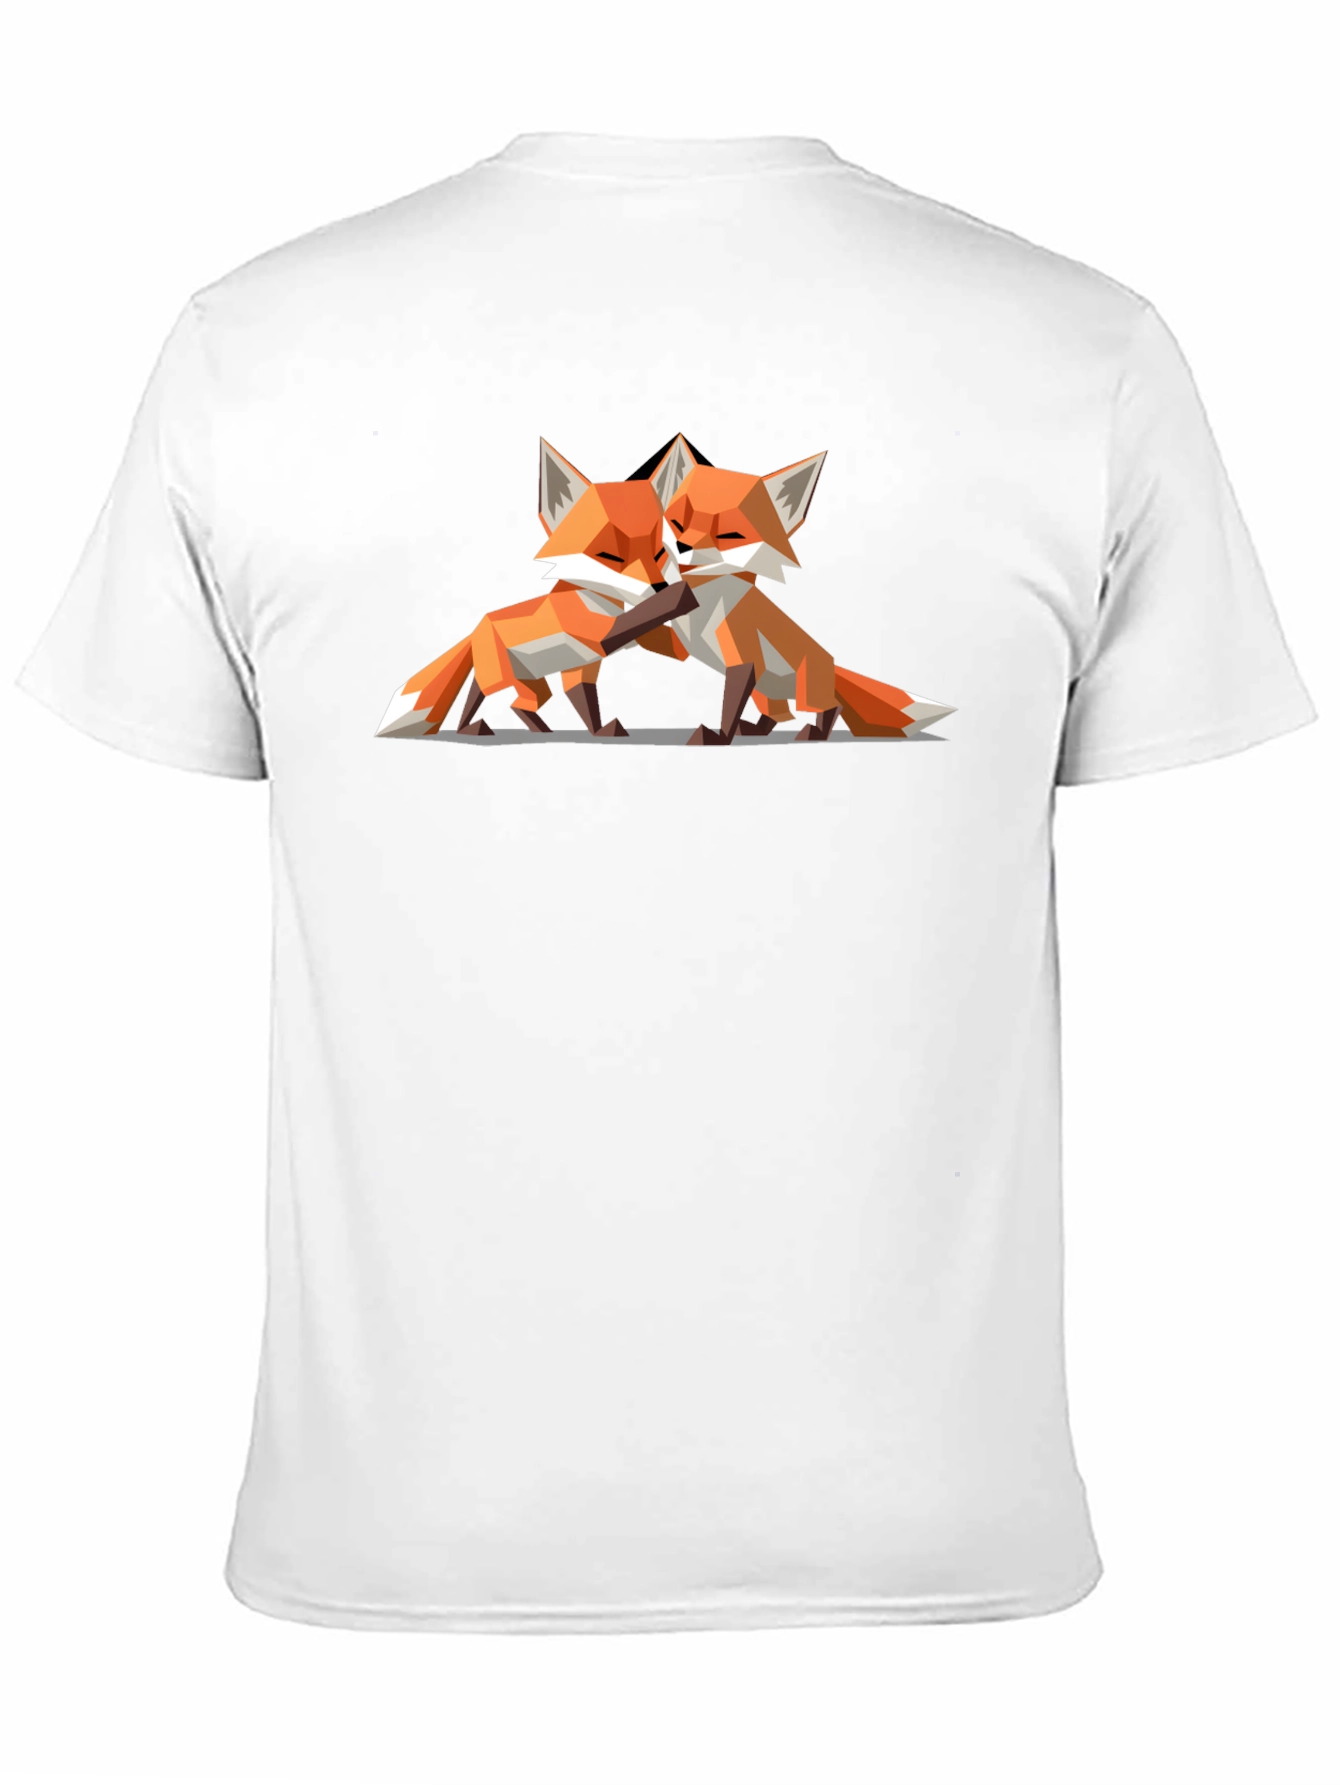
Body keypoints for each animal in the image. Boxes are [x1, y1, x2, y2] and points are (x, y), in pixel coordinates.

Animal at [375, 439, 696, 740]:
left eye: (659, 553)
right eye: (609, 556)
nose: (659, 586)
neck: (602, 602)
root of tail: (478, 627)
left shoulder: (583, 669)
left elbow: (591, 700)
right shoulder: (596, 635)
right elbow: (637, 619)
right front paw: (680, 596)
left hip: (535, 683)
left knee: (503, 701)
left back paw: (526, 729)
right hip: (508, 679)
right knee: (496, 699)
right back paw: (481, 728)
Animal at [632, 434, 956, 745]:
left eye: (729, 535)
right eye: (677, 522)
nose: (682, 545)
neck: (706, 608)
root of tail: (832, 665)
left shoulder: (744, 657)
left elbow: (729, 709)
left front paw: (718, 738)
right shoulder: (682, 645)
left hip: (805, 690)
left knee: (829, 708)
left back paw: (815, 734)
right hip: (766, 692)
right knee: (778, 715)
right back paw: (756, 730)